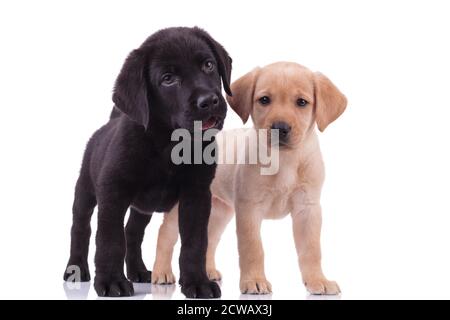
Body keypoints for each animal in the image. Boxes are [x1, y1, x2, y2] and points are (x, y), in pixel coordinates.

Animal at [64, 26, 232, 298]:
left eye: (208, 65)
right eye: (168, 79)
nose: (209, 101)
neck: (169, 145)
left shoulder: (196, 195)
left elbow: (195, 242)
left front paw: (197, 282)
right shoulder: (113, 193)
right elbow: (109, 239)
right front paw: (111, 281)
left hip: (142, 208)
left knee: (132, 232)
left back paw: (138, 271)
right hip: (85, 192)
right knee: (81, 227)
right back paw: (76, 269)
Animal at [153, 62, 346, 296]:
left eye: (302, 102)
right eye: (264, 100)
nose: (280, 128)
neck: (284, 160)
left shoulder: (307, 208)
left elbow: (312, 249)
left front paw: (318, 280)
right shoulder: (249, 209)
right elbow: (253, 248)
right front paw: (254, 280)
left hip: (220, 211)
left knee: (210, 238)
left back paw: (208, 271)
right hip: (183, 208)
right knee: (165, 235)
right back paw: (161, 272)